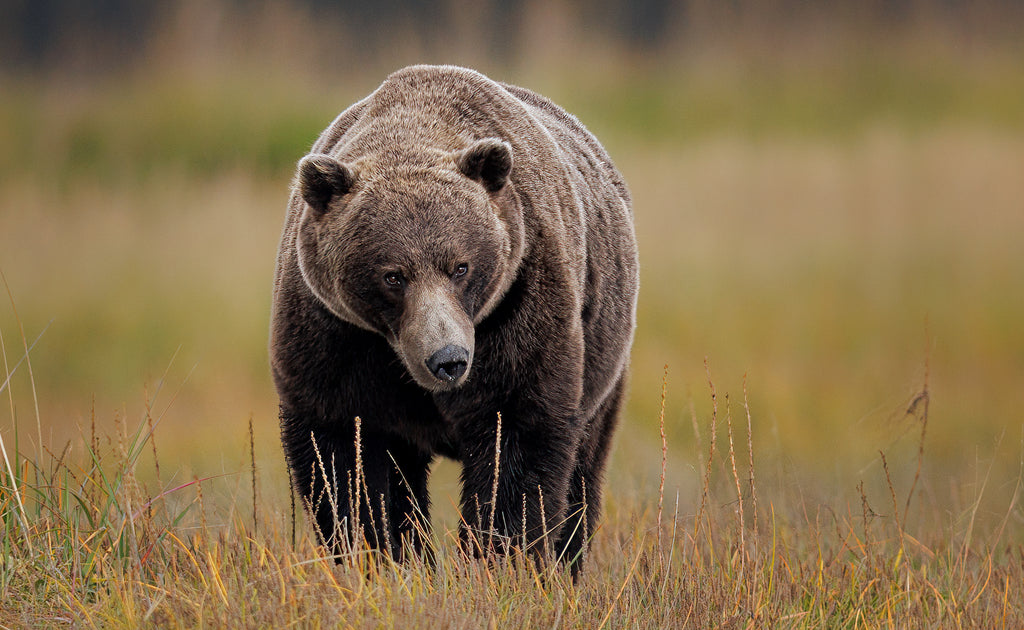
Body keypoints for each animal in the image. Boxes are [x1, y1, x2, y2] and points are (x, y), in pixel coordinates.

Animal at [272, 65, 638, 577]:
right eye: (393, 276)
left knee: (584, 466)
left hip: (603, 353)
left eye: (459, 267)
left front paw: (498, 559)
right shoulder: (334, 333)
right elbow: (346, 454)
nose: (448, 360)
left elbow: (517, 436)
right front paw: (382, 557)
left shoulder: (520, 301)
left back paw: (566, 562)